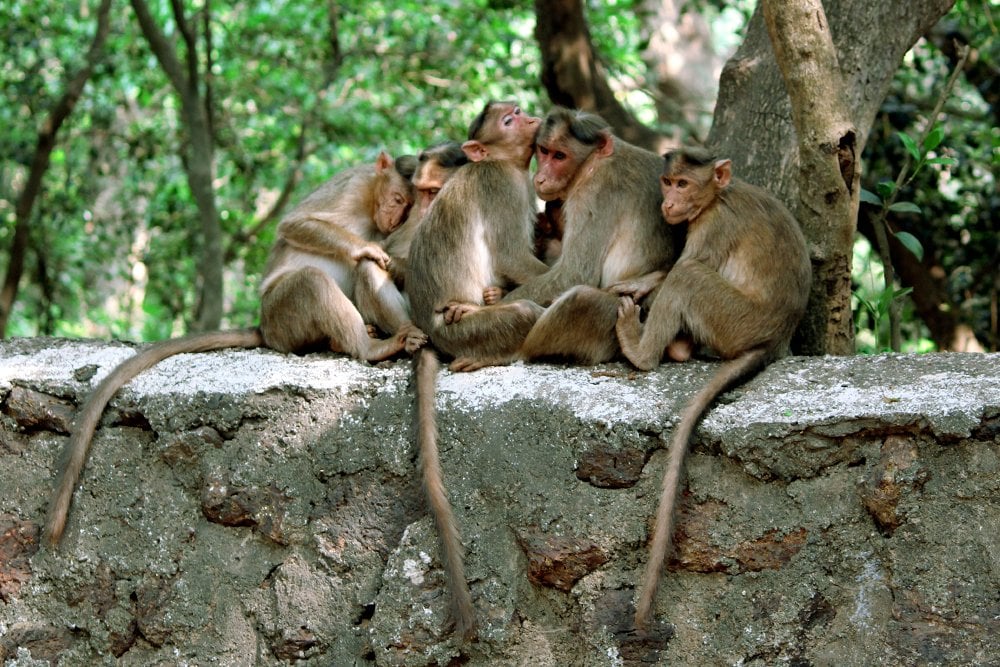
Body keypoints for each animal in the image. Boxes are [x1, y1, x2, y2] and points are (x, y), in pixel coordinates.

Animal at [44, 151, 418, 546]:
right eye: (396, 199)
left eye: (406, 208)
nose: (393, 217)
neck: (371, 203)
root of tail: (265, 329)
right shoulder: (353, 186)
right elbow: (295, 224)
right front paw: (367, 248)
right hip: (283, 315)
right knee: (311, 282)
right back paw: (369, 346)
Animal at [406, 101, 550, 641]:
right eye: (508, 121)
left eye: (518, 111)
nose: (530, 118)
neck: (506, 165)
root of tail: (429, 331)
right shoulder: (504, 189)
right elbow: (514, 257)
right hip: (463, 332)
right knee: (521, 314)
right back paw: (493, 351)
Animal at [614, 147, 812, 629]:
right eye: (668, 181)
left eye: (684, 184)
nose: (668, 202)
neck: (716, 197)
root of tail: (775, 339)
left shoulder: (714, 225)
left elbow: (683, 267)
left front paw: (647, 284)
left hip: (733, 319)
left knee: (690, 275)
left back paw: (643, 351)